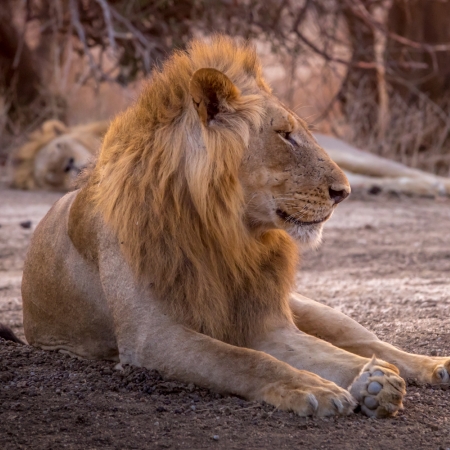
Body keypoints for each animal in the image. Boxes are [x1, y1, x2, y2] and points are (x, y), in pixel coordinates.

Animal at [19, 37, 448, 420]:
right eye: (285, 135)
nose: (344, 192)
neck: (226, 234)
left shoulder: (266, 323)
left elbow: (322, 352)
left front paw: (368, 380)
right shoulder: (151, 336)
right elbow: (244, 360)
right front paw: (314, 387)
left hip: (308, 306)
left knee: (366, 340)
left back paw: (424, 368)